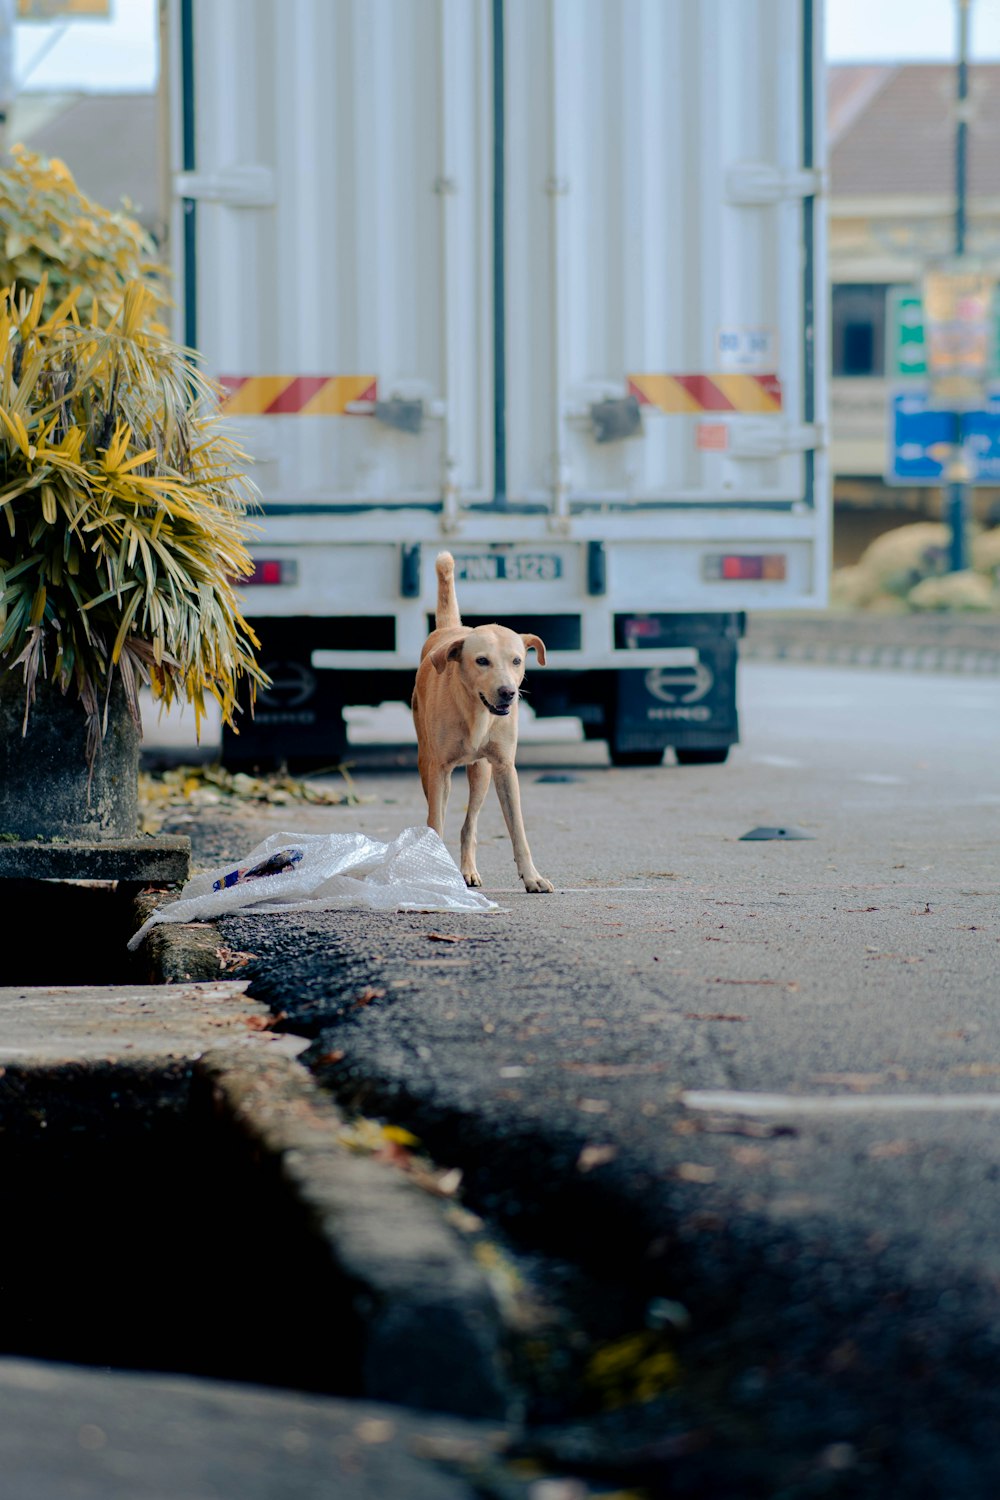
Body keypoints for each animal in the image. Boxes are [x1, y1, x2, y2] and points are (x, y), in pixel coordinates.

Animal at [413, 558, 554, 894]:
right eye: (481, 661)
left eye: (517, 660)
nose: (508, 692)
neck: (476, 712)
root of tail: (449, 629)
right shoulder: (439, 770)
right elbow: (436, 822)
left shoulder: (504, 768)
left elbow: (517, 829)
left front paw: (532, 877)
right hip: (426, 764)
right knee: (435, 815)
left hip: (481, 773)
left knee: (470, 824)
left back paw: (468, 870)